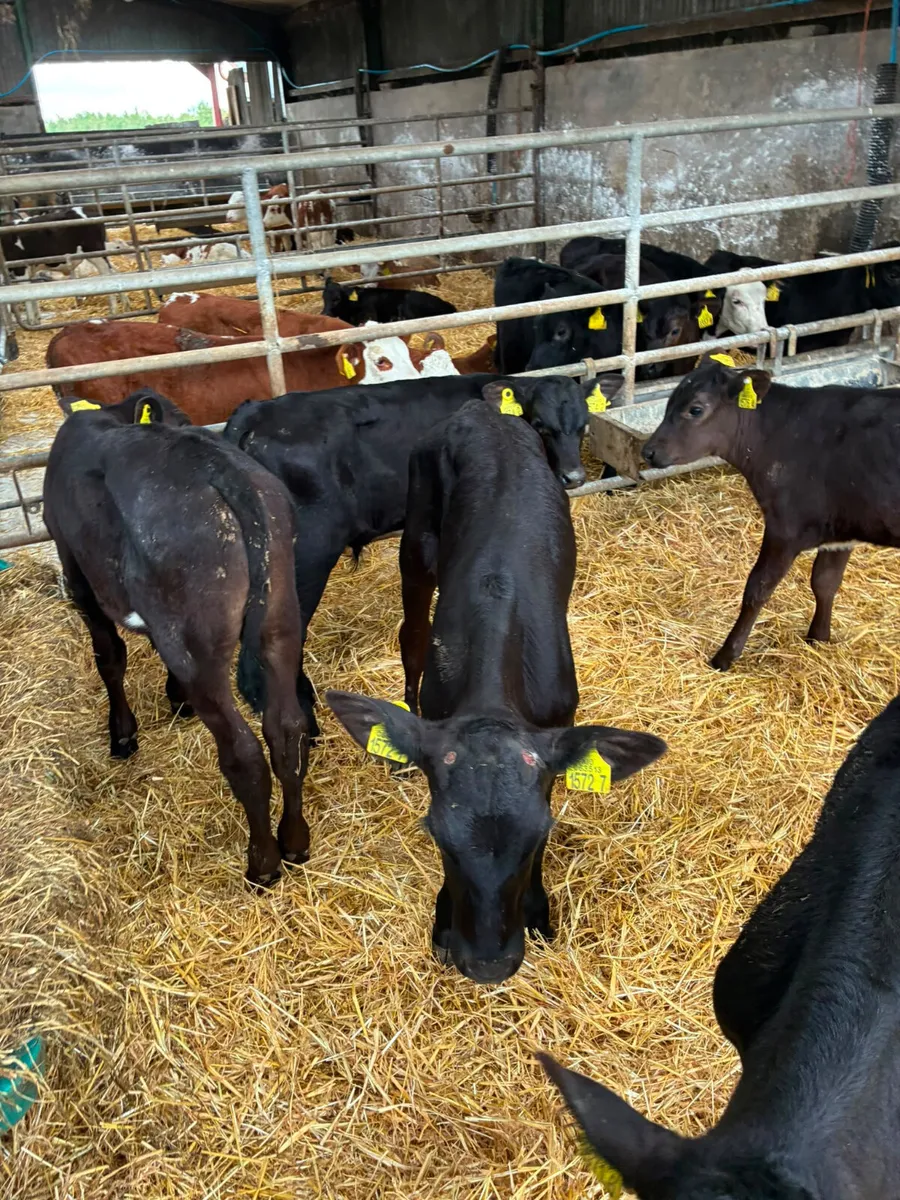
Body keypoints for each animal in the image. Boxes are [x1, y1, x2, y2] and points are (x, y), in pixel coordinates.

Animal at [44, 389, 312, 887]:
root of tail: (216, 468)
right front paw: (175, 700)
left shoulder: (77, 574)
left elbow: (109, 656)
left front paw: (122, 735)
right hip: (281, 619)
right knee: (287, 730)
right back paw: (295, 841)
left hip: (197, 647)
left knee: (243, 752)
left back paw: (263, 864)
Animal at [325, 399, 665, 982]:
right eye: (436, 835)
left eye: (539, 837)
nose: (487, 963)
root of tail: (479, 409)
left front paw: (537, 913)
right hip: (417, 543)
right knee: (411, 637)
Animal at [642, 354, 900, 670]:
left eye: (696, 409)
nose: (648, 451)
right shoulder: (841, 529)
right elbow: (825, 582)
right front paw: (818, 638)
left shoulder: (785, 528)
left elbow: (757, 589)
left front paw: (725, 656)